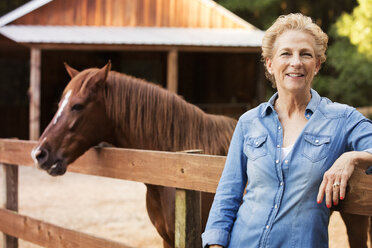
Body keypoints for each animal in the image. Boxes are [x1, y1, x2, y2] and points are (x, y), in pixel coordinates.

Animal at [32, 61, 372, 246]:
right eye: (60, 103)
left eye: (78, 106)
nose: (40, 153)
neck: (175, 163)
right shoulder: (168, 239)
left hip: (356, 222)